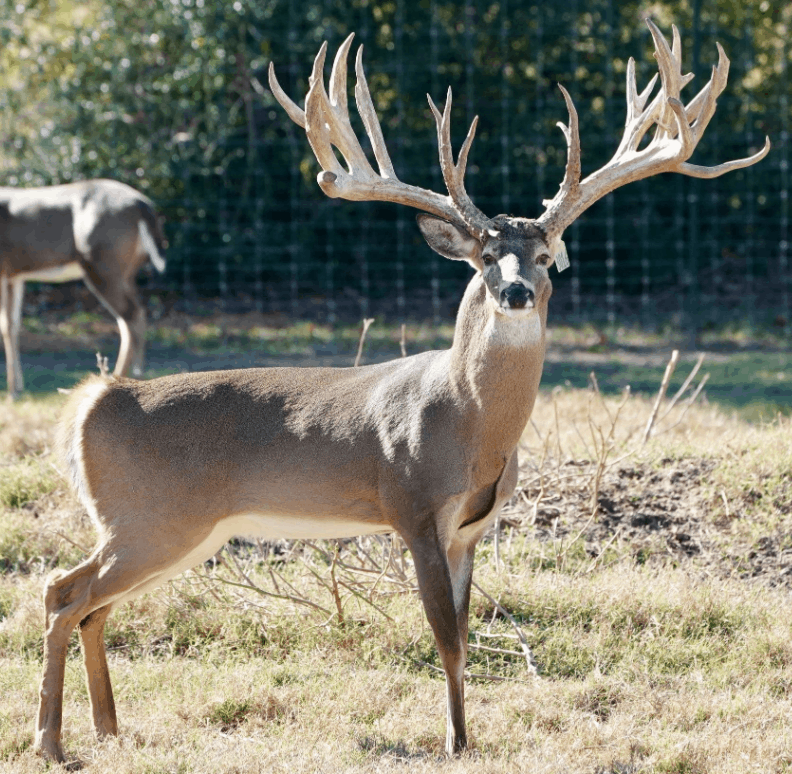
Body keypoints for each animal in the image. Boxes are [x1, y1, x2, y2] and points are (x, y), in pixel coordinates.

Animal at [0, 178, 166, 400]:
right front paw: (16, 389)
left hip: (101, 263)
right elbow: (11, 325)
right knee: (139, 311)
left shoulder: (2, 270)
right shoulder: (14, 275)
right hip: (126, 272)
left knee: (130, 316)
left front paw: (12, 392)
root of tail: (142, 204)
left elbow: (4, 325)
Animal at [34, 21, 768, 763]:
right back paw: (51, 742)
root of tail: (91, 403)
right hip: (149, 519)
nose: (515, 291)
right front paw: (456, 742)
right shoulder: (412, 506)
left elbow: (465, 631)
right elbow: (445, 636)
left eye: (544, 254)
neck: (470, 424)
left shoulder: (472, 527)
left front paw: (463, 734)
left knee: (90, 603)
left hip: (173, 530)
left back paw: (109, 729)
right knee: (62, 592)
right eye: (484, 256)